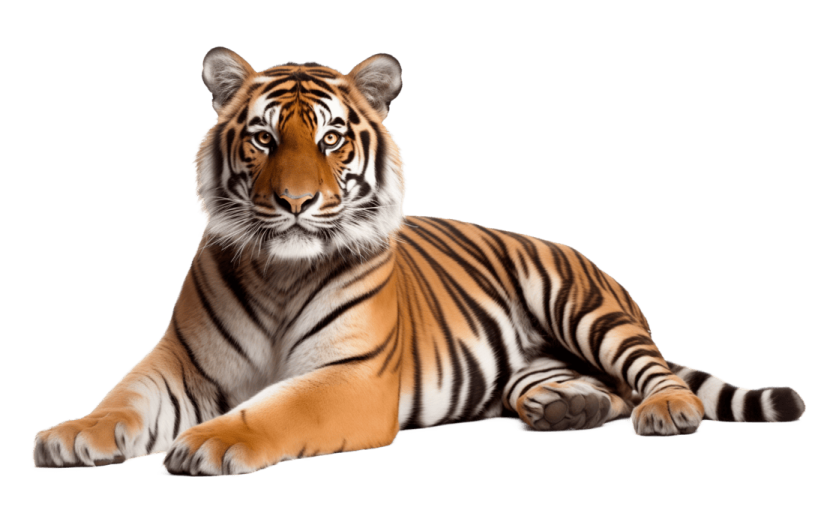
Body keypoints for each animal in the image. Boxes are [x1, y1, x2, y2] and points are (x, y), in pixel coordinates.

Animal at [31, 47, 806, 476]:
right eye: (261, 138)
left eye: (332, 139)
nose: (295, 202)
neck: (282, 271)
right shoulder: (180, 362)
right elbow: (122, 398)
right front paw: (72, 436)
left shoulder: (350, 376)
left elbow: (274, 408)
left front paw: (211, 443)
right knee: (596, 386)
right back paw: (572, 408)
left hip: (583, 308)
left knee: (647, 372)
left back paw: (668, 411)